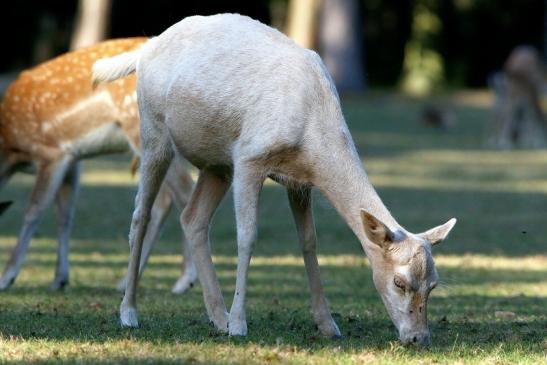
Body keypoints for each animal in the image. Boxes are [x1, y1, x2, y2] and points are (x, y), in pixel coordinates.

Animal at [0, 37, 197, 292]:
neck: (9, 150)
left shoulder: (52, 153)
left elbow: (34, 210)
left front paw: (7, 277)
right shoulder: (72, 160)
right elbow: (65, 214)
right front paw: (59, 279)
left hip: (140, 132)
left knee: (183, 191)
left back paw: (183, 281)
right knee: (165, 199)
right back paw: (132, 281)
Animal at [94, 13, 458, 344]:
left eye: (433, 284)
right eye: (399, 282)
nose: (418, 337)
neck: (311, 136)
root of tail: (148, 46)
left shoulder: (300, 182)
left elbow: (309, 242)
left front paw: (328, 326)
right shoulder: (249, 158)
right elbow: (247, 236)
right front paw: (240, 324)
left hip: (216, 163)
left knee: (192, 217)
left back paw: (217, 317)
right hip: (153, 131)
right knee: (141, 214)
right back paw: (130, 313)